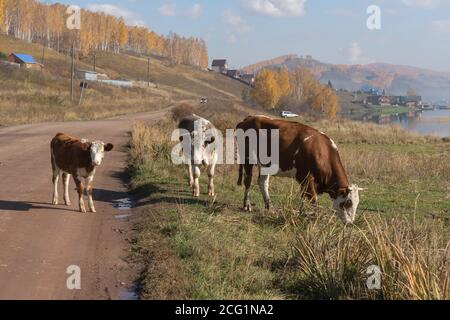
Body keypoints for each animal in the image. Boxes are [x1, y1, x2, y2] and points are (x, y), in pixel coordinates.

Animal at [236, 115, 366, 225]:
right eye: (348, 203)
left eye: (357, 203)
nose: (350, 223)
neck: (322, 152)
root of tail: (249, 118)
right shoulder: (304, 176)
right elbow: (313, 198)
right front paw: (315, 217)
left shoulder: (306, 181)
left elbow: (303, 196)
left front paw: (301, 213)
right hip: (247, 158)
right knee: (248, 181)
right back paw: (247, 205)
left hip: (265, 165)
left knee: (262, 183)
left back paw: (269, 206)